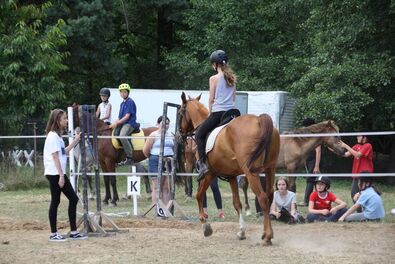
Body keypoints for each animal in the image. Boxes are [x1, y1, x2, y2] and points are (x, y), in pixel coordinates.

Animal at [178, 93, 280, 245]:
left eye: (179, 113)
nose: (179, 136)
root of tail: (259, 120)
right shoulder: (231, 175)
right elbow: (237, 203)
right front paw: (241, 232)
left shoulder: (209, 173)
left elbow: (199, 194)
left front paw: (205, 225)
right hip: (270, 169)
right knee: (269, 195)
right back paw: (265, 233)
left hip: (251, 172)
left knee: (262, 198)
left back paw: (268, 236)